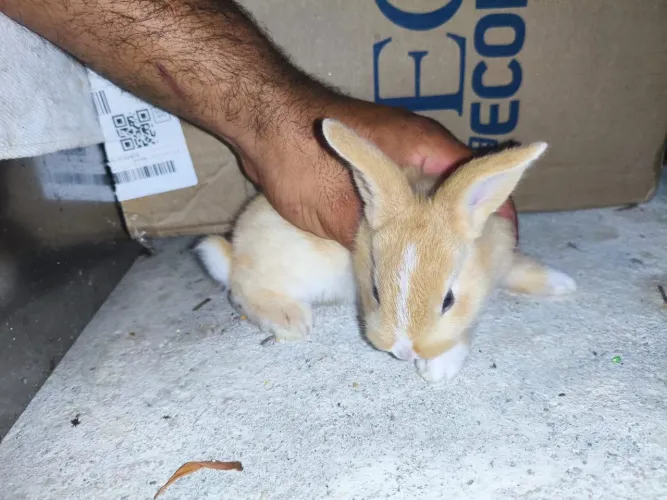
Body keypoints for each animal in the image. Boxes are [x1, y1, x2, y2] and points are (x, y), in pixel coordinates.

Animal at [195, 119, 576, 383]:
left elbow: (516, 272)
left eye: (448, 301)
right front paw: (439, 369)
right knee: (242, 291)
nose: (404, 352)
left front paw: (562, 284)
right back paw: (291, 320)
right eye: (376, 292)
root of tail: (236, 250)